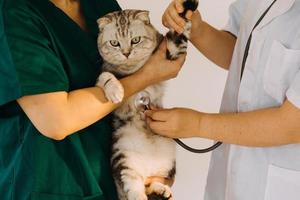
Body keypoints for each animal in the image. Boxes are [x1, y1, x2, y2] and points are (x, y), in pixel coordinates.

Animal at [96, 0, 199, 199]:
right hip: (123, 158)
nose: (126, 53)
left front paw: (186, 7)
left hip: (168, 165)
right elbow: (105, 77)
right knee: (134, 188)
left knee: (152, 183)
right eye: (114, 43)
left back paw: (161, 190)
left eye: (135, 40)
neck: (133, 68)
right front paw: (116, 91)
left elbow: (178, 32)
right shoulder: (103, 72)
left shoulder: (172, 50)